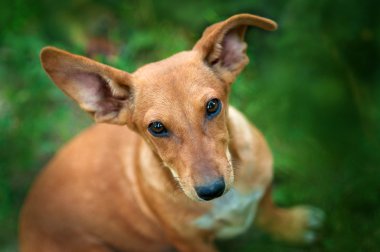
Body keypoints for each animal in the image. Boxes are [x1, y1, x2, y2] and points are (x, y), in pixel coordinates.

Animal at [20, 14, 324, 252]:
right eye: (157, 127)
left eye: (213, 106)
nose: (211, 191)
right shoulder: (191, 243)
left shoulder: (262, 186)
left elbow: (267, 211)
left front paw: (292, 226)